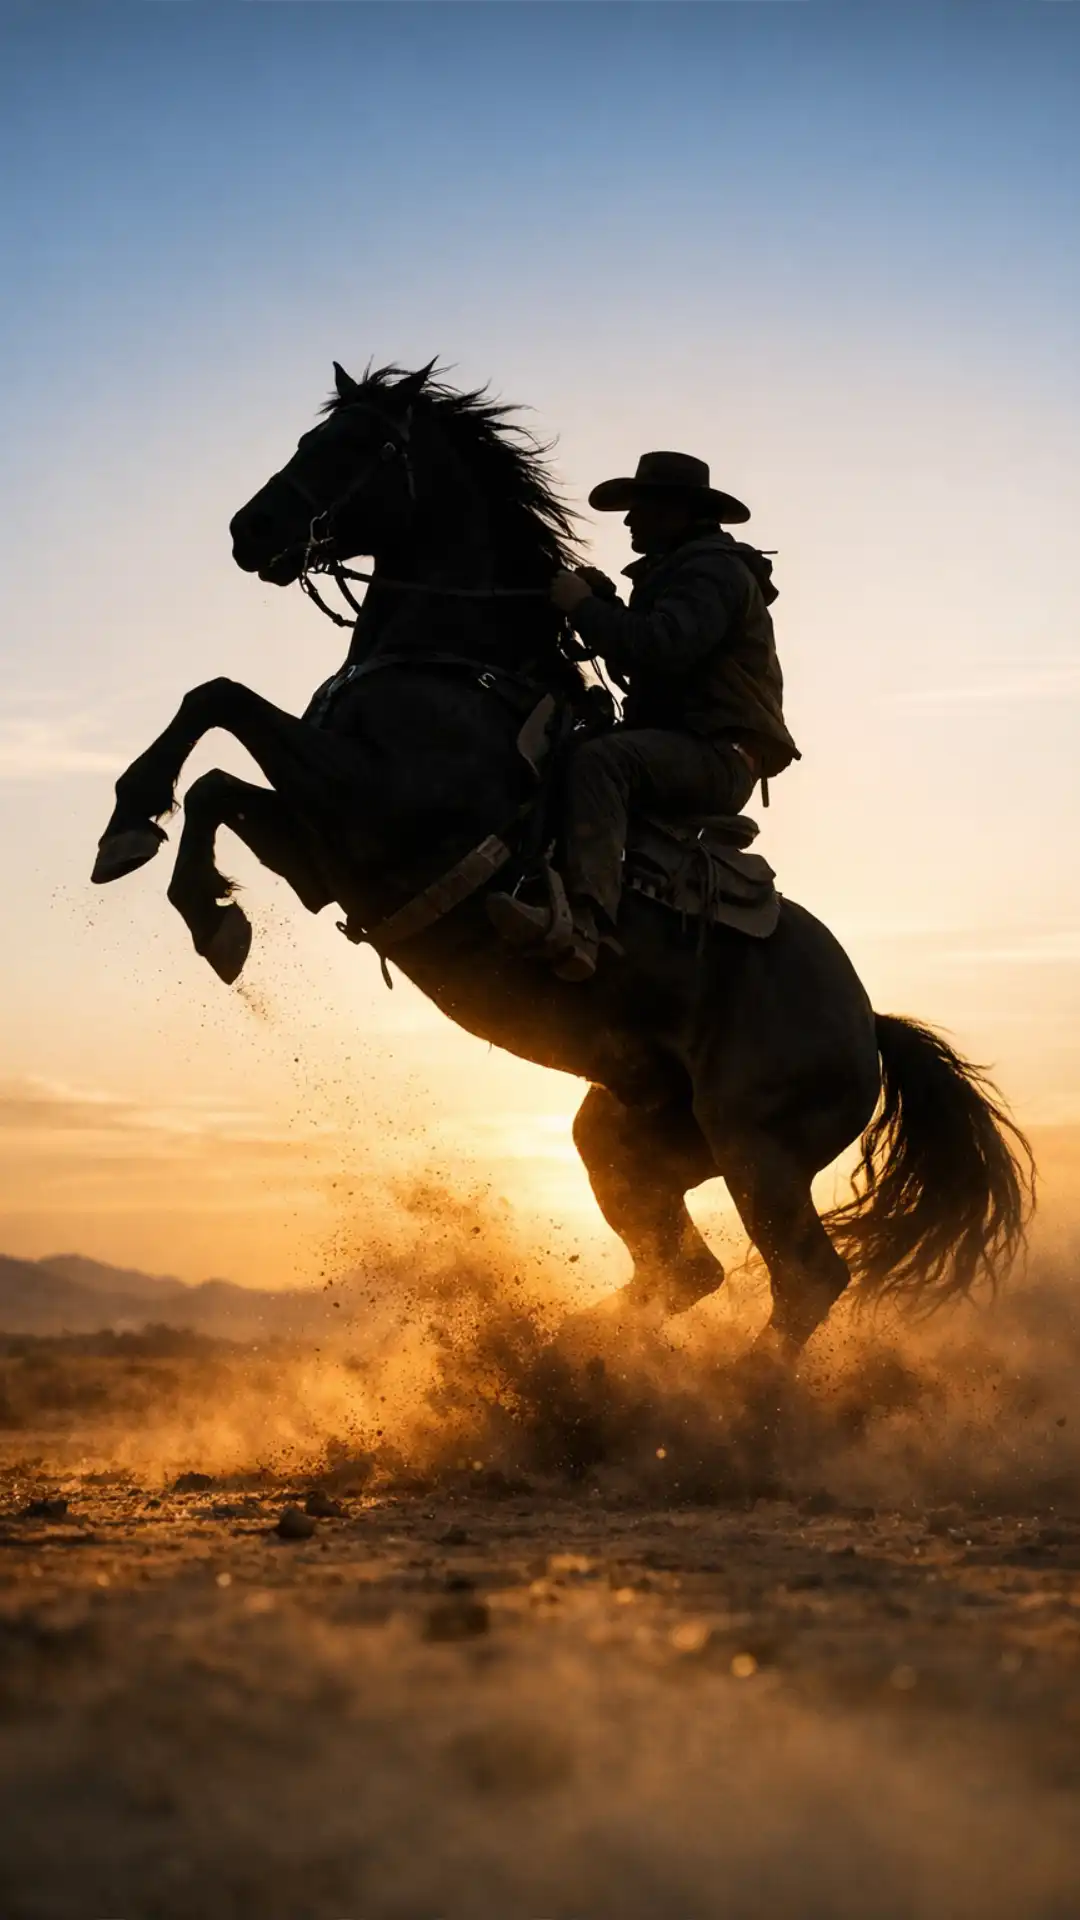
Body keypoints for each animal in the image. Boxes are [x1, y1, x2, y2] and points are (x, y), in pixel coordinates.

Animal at [90, 359, 1033, 1355]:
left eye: (358, 444)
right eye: (310, 437)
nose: (252, 530)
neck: (453, 663)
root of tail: (870, 1024)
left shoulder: (370, 811)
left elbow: (221, 700)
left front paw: (139, 832)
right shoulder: (319, 849)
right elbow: (212, 778)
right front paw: (195, 899)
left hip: (759, 1148)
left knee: (804, 1278)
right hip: (633, 1140)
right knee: (682, 1270)